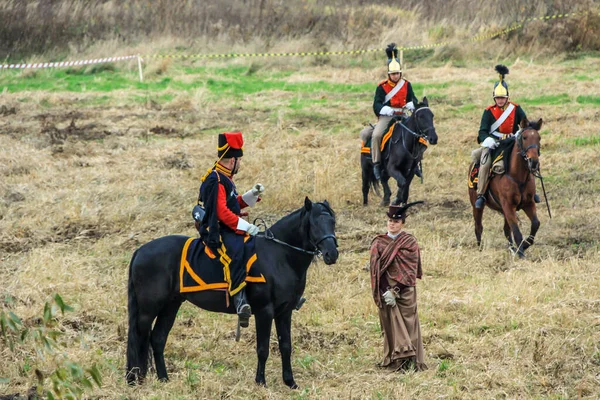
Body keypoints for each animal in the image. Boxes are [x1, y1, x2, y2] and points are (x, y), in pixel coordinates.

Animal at [126, 198, 338, 390]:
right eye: (314, 223)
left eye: (333, 222)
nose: (332, 254)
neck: (279, 255)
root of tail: (140, 250)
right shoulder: (265, 311)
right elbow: (263, 348)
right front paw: (261, 382)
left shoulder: (284, 312)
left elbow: (286, 346)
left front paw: (290, 382)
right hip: (148, 309)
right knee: (139, 338)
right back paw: (135, 378)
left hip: (171, 305)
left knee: (157, 338)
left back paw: (163, 379)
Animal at [468, 117, 544, 258]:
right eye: (524, 137)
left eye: (539, 138)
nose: (534, 162)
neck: (518, 177)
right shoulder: (508, 205)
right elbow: (517, 231)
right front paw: (521, 253)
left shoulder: (528, 203)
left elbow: (535, 224)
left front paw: (525, 245)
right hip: (477, 206)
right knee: (478, 227)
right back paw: (480, 249)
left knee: (506, 230)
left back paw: (512, 248)